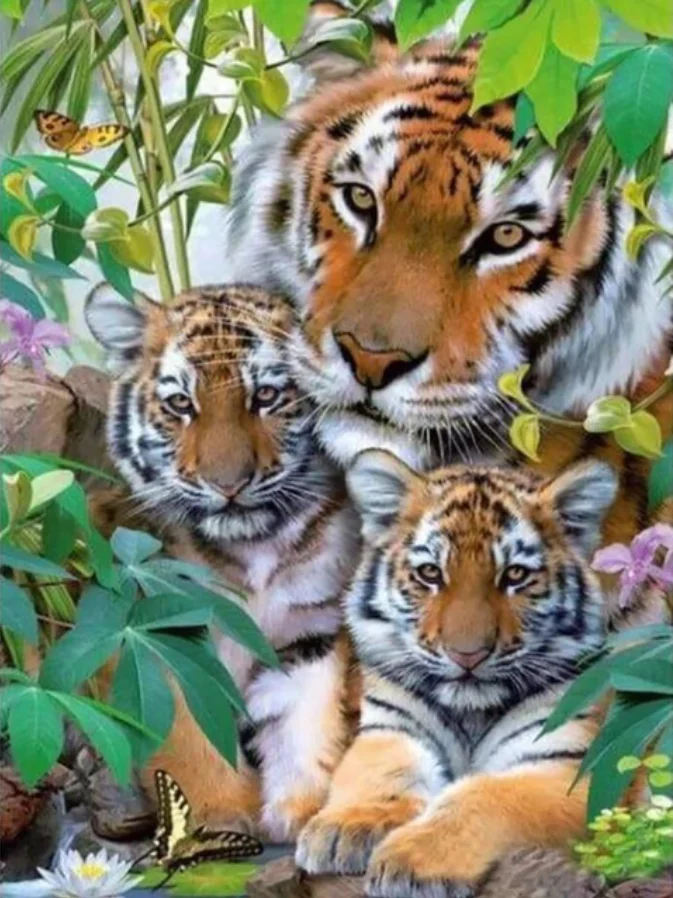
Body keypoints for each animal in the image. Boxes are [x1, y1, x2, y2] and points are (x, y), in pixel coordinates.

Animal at [84, 282, 360, 841]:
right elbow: (187, 732)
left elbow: (304, 720)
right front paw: (221, 815)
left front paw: (300, 809)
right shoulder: (162, 637)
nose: (228, 484)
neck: (252, 547)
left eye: (267, 396)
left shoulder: (309, 632)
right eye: (180, 404)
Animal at [297, 449, 621, 897]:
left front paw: (413, 861)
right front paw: (345, 827)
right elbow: (382, 771)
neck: (471, 711)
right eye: (430, 573)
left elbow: (484, 795)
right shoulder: (391, 728)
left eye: (515, 575)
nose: (468, 655)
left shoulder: (569, 768)